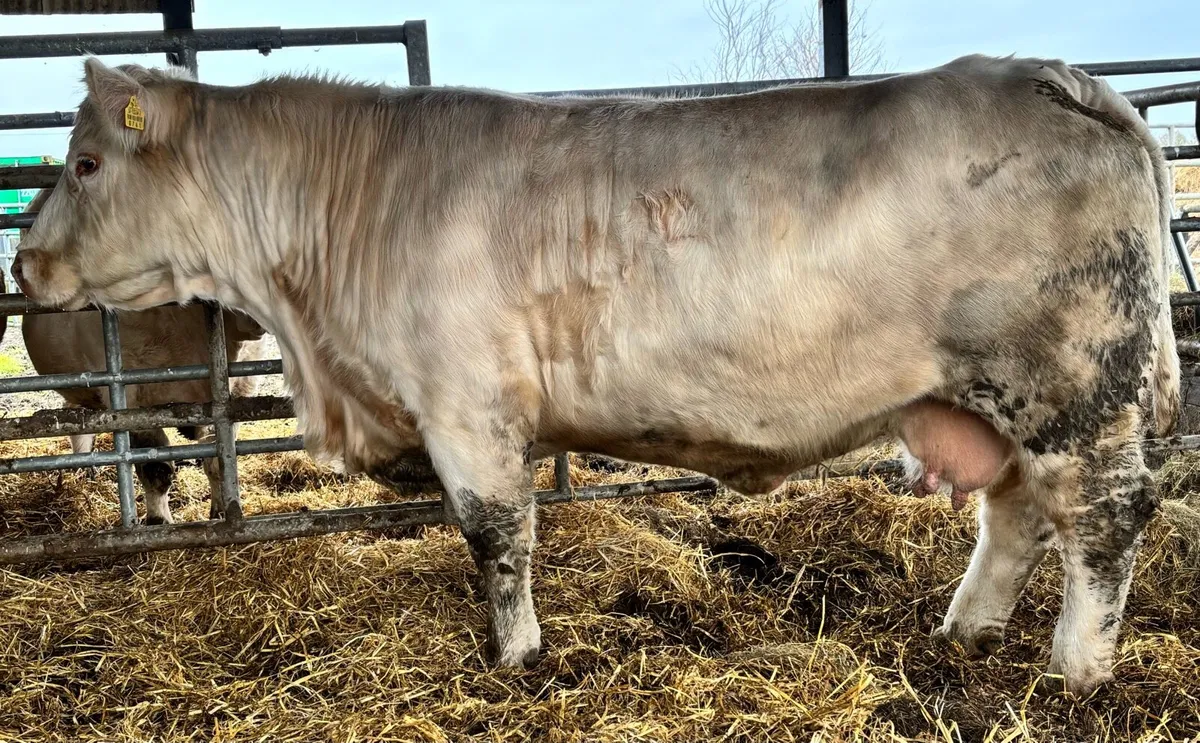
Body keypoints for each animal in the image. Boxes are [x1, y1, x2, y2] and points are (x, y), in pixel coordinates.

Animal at [14, 188, 269, 525]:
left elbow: (220, 460)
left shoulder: (238, 391)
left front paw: (221, 511)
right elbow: (155, 467)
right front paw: (159, 521)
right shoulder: (128, 396)